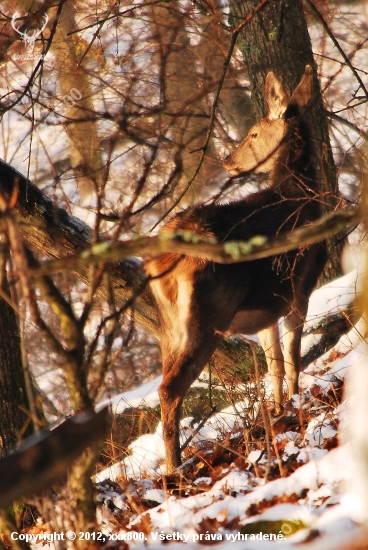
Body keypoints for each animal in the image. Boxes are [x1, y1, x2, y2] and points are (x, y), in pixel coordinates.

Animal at [144, 66, 328, 474]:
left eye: (254, 133)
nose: (228, 159)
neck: (299, 195)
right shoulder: (300, 288)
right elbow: (293, 359)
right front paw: (297, 406)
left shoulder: (268, 311)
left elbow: (274, 366)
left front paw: (278, 411)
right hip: (207, 315)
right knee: (169, 388)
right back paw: (174, 469)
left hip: (168, 327)